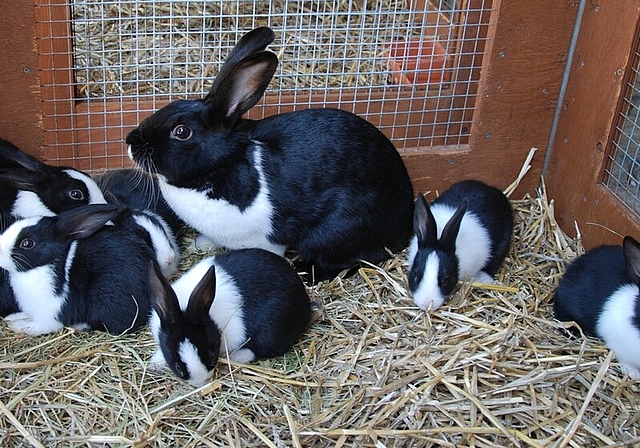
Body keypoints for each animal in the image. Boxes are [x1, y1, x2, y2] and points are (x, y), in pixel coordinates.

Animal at [126, 25, 416, 284]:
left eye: (182, 131)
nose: (130, 142)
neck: (219, 167)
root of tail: (404, 222)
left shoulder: (263, 238)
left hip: (337, 231)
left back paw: (305, 271)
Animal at [148, 247, 312, 386]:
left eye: (211, 355)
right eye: (178, 366)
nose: (202, 382)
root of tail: (305, 303)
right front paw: (154, 363)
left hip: (271, 329)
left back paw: (236, 356)